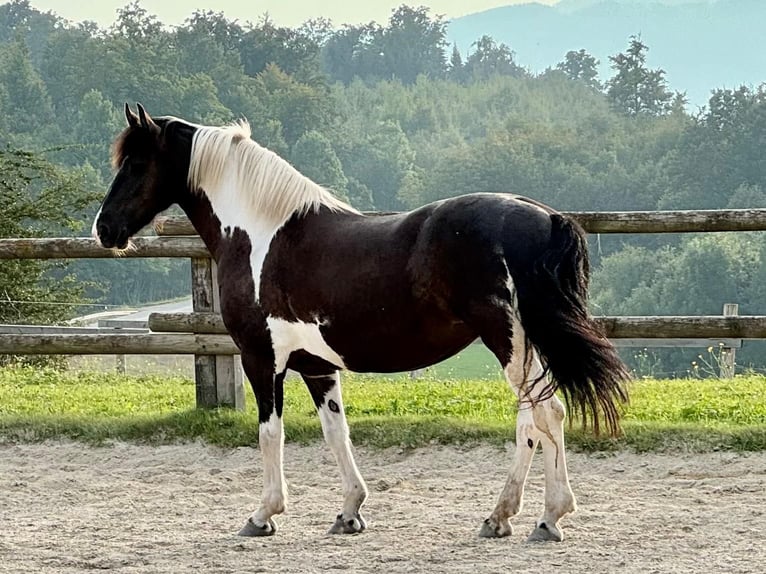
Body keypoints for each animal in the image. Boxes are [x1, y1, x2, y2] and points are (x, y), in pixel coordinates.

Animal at [93, 104, 629, 542]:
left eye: (136, 163)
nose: (104, 228)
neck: (258, 233)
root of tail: (545, 217)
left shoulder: (262, 359)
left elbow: (270, 434)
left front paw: (263, 515)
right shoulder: (317, 366)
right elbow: (337, 432)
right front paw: (350, 512)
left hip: (509, 341)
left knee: (547, 414)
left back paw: (549, 518)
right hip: (520, 345)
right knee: (530, 421)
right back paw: (503, 517)